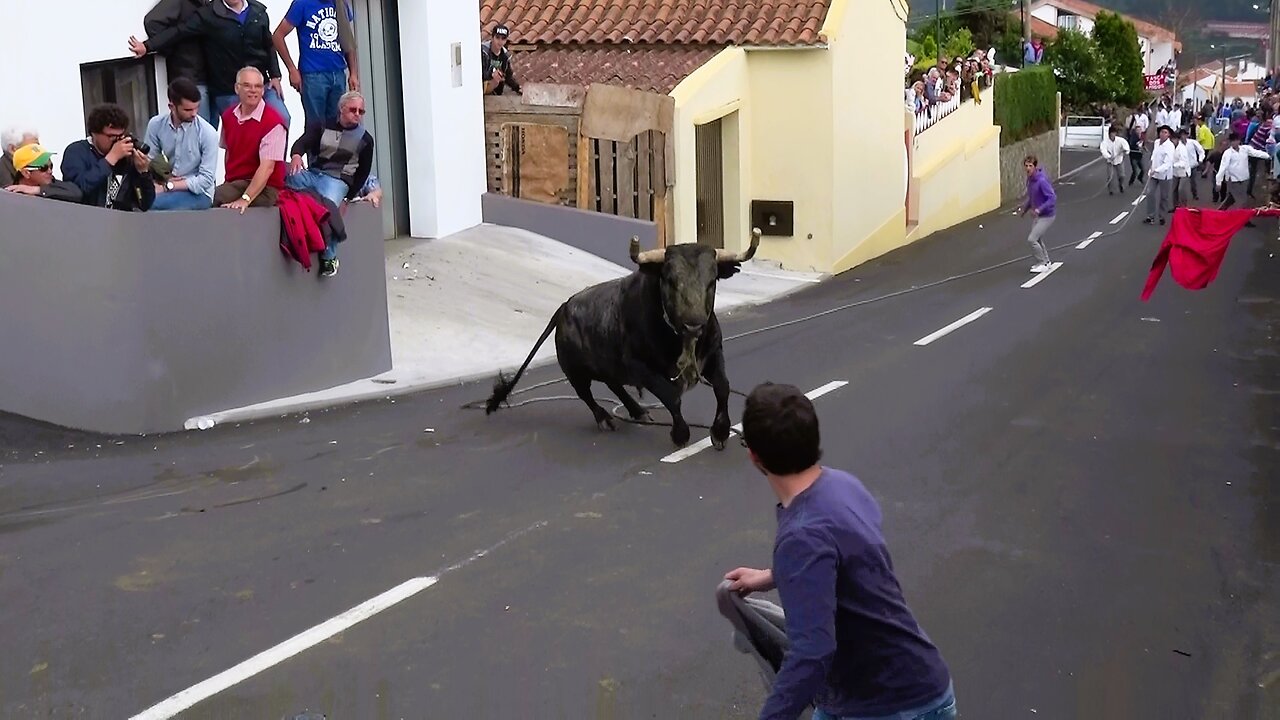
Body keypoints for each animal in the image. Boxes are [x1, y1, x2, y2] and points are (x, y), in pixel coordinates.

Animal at [481, 228, 757, 448]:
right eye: (669, 279)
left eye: (712, 281)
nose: (693, 323)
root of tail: (565, 305)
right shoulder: (641, 367)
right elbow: (672, 397)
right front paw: (680, 434)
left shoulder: (714, 352)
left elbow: (723, 387)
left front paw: (720, 432)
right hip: (575, 370)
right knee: (586, 394)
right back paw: (605, 418)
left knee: (614, 385)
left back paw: (638, 412)